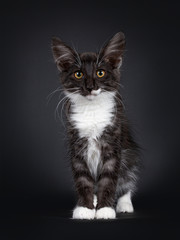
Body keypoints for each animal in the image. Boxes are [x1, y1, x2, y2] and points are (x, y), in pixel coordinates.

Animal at [51, 32, 141, 219]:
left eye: (100, 73)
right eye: (78, 74)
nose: (90, 87)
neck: (91, 109)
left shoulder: (113, 141)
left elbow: (108, 179)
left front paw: (105, 209)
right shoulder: (76, 144)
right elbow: (83, 179)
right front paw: (85, 208)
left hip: (130, 154)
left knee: (127, 178)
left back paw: (124, 204)